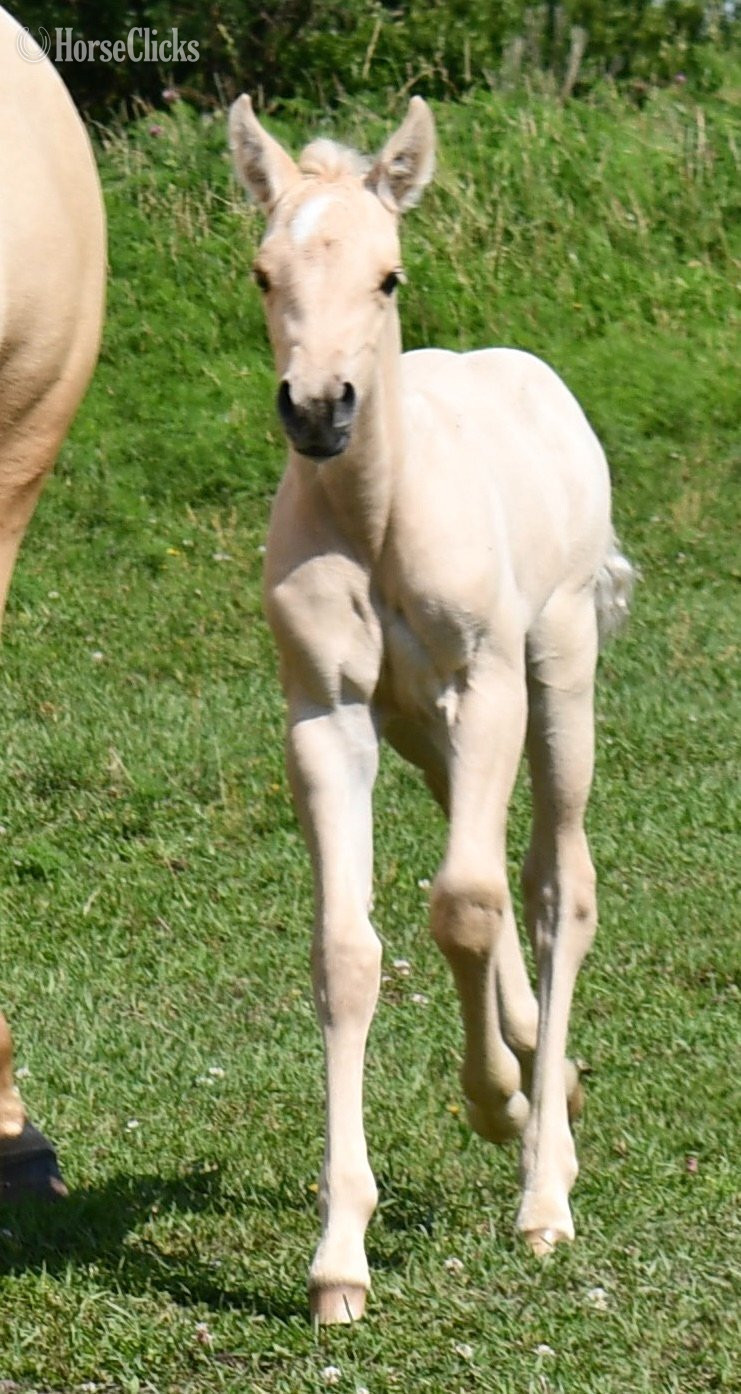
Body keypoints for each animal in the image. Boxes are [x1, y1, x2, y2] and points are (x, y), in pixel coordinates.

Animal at [229, 94, 632, 1323]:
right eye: (264, 273)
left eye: (389, 275)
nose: (320, 411)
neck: (375, 516)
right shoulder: (327, 718)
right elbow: (348, 953)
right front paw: (337, 1258)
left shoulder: (485, 683)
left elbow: (462, 906)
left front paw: (501, 1105)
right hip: (421, 734)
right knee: (496, 868)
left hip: (554, 675)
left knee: (550, 887)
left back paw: (545, 1177)